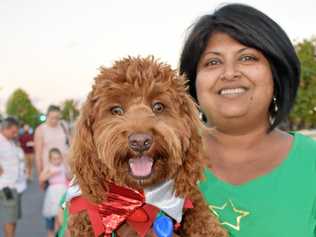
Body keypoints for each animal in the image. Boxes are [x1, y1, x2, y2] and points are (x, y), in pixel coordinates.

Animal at [67, 56, 227, 236]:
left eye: (158, 107)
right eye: (116, 110)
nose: (140, 141)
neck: (141, 199)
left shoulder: (193, 204)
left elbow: (206, 224)